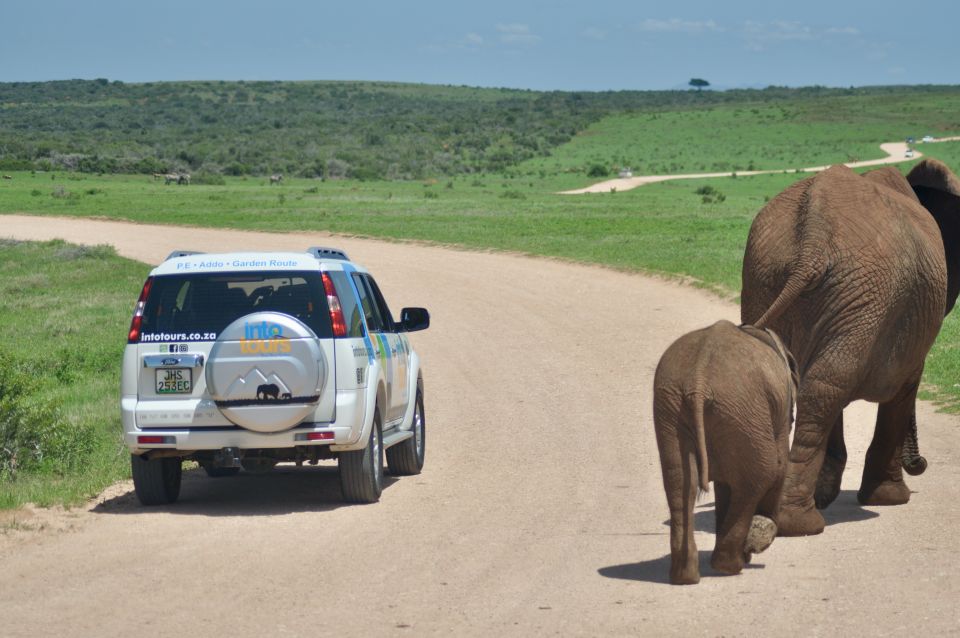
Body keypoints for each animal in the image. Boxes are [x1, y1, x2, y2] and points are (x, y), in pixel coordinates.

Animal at [648, 322, 800, 588]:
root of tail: (698, 381)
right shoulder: (777, 412)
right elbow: (780, 466)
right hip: (744, 411)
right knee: (761, 475)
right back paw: (729, 566)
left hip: (674, 409)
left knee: (679, 482)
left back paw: (685, 577)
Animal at [740, 159, 956, 536]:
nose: (922, 464)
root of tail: (812, 241)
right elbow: (904, 387)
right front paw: (890, 499)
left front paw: (827, 492)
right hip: (864, 293)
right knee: (826, 388)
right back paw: (800, 523)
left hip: (769, 277)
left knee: (816, 383)